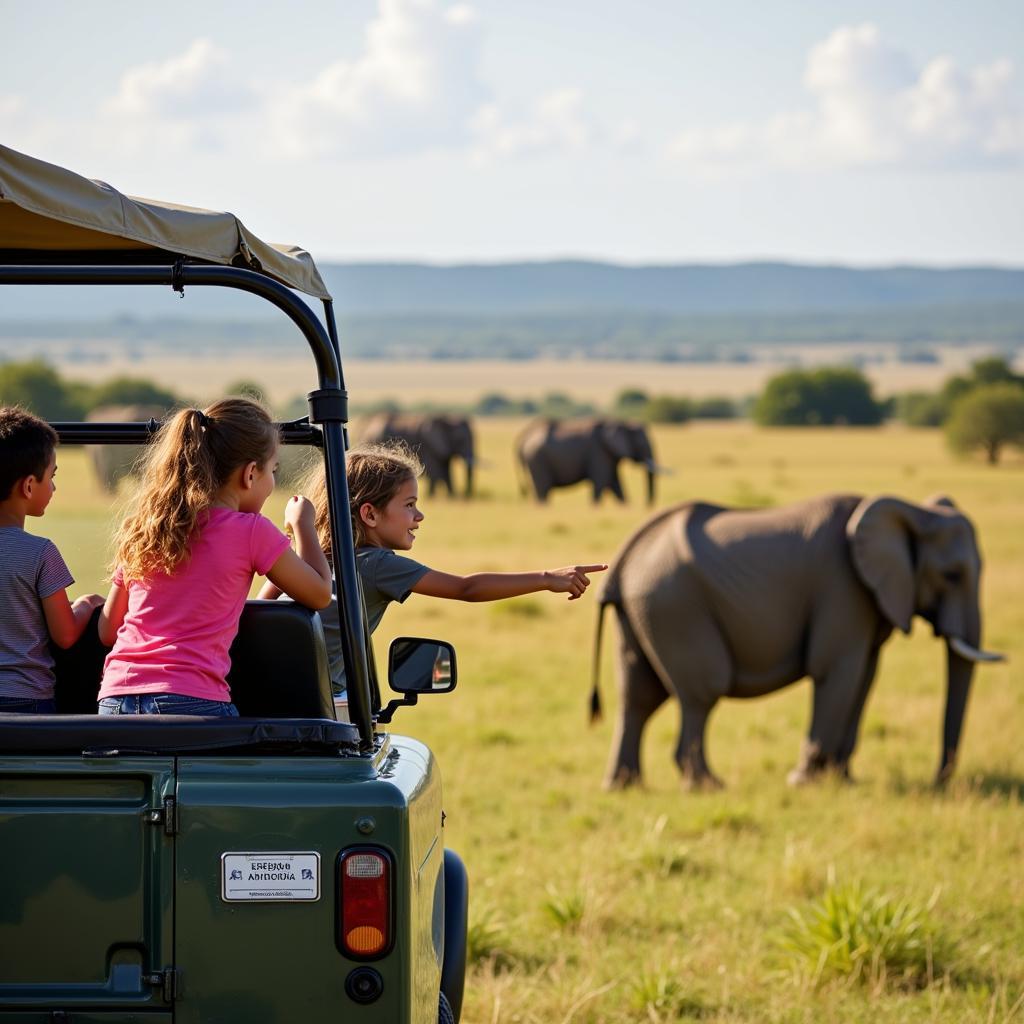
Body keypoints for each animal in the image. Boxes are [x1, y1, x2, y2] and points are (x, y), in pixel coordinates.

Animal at [516, 415, 659, 503]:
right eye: (641, 444)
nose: (646, 506)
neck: (622, 422)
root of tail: (523, 439)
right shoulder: (599, 452)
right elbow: (601, 483)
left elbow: (616, 485)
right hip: (537, 459)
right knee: (543, 490)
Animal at [598, 495, 1003, 790]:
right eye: (951, 576)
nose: (940, 782)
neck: (915, 511)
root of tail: (622, 562)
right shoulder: (843, 586)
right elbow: (836, 671)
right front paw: (805, 781)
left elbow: (865, 676)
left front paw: (844, 780)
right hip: (675, 606)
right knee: (702, 693)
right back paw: (707, 786)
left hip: (642, 611)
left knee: (638, 696)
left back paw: (624, 786)